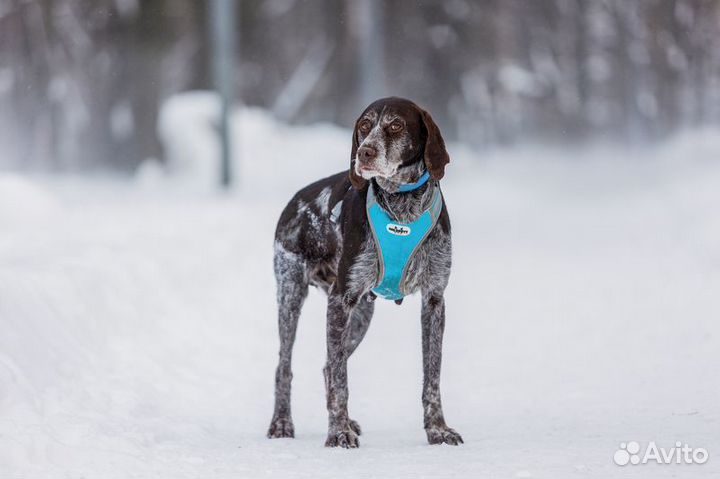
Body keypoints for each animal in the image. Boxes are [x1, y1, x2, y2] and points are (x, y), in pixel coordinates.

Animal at [266, 95, 462, 448]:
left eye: (396, 124)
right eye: (364, 126)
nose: (365, 152)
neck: (402, 206)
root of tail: (295, 200)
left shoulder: (434, 300)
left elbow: (432, 375)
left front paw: (438, 429)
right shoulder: (340, 300)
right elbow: (340, 378)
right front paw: (338, 432)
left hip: (360, 315)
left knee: (329, 365)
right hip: (291, 297)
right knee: (286, 367)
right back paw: (282, 423)